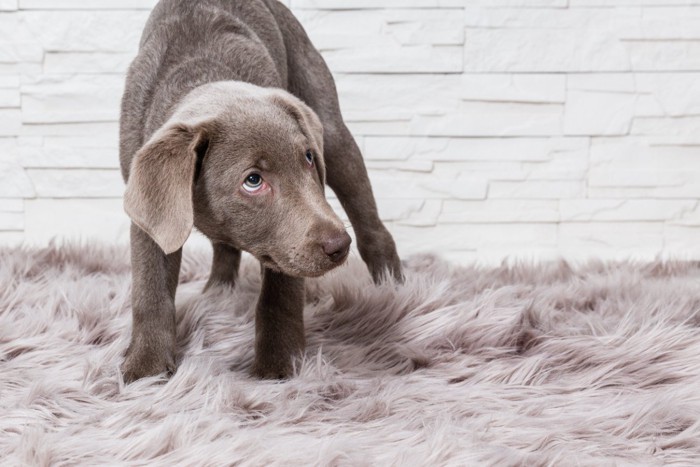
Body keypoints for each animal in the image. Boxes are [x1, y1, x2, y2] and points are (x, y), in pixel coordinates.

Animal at [119, 0, 402, 384]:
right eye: (253, 180)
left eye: (308, 158)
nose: (338, 246)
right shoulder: (153, 209)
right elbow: (150, 286)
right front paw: (145, 370)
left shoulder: (287, 242)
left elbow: (280, 294)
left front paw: (277, 367)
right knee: (224, 248)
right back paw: (218, 294)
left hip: (328, 120)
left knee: (369, 218)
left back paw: (393, 289)